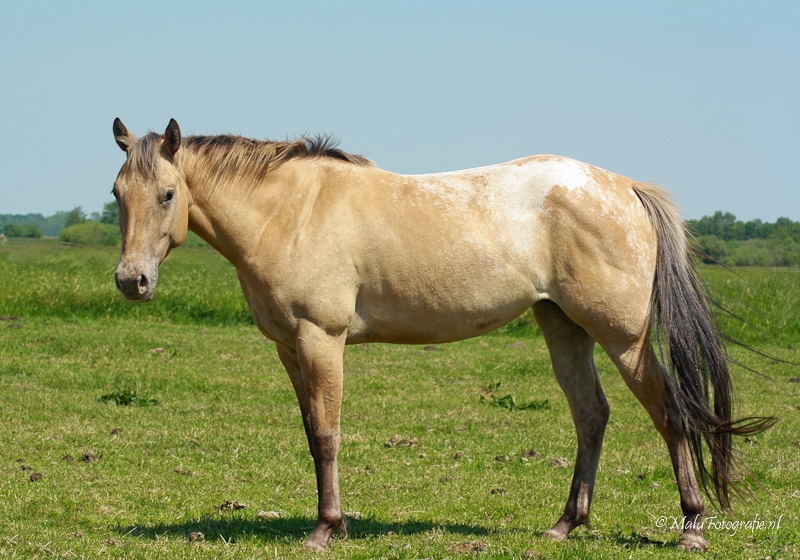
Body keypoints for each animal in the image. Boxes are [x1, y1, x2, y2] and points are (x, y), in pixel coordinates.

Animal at [109, 117, 772, 552]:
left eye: (168, 193)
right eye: (117, 194)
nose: (131, 281)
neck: (290, 211)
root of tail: (624, 186)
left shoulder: (321, 339)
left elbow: (326, 434)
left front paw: (324, 529)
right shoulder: (288, 349)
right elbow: (311, 433)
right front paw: (336, 521)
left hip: (623, 337)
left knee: (669, 413)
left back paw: (692, 527)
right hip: (563, 327)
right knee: (591, 415)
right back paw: (565, 524)